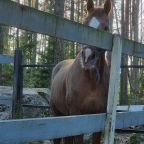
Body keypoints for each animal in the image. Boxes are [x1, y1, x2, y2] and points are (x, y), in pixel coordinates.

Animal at [50, 0, 111, 143]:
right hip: (57, 113)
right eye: (84, 24)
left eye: (106, 28)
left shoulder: (99, 116)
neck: (92, 82)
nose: (88, 57)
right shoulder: (77, 114)